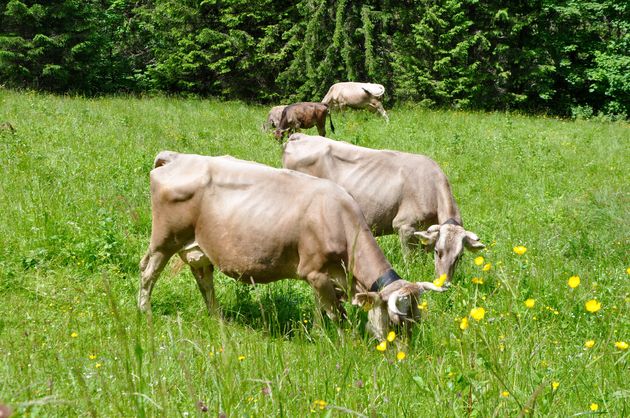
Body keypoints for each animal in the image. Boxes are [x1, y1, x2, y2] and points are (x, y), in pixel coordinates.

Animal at [139, 150, 446, 340]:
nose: (402, 354)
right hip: (163, 241)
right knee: (147, 273)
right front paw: (344, 343)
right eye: (397, 321)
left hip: (197, 247)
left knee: (204, 280)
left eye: (416, 320)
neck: (338, 218)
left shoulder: (324, 277)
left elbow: (322, 310)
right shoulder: (316, 272)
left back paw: (218, 318)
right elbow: (335, 314)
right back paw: (145, 311)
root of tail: (177, 158)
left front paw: (321, 335)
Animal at [284, 134, 486, 284]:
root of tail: (299, 136)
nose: (445, 283)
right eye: (439, 251)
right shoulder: (404, 226)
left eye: (459, 256)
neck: (430, 185)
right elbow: (410, 260)